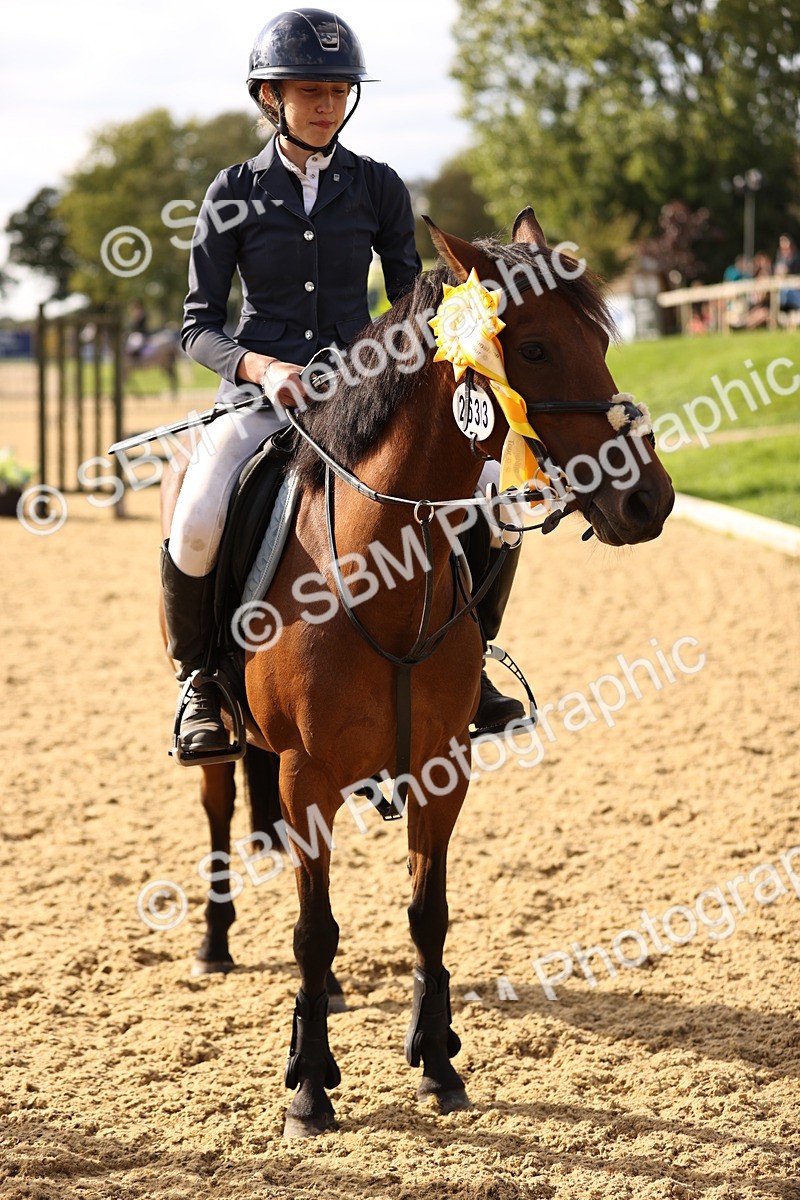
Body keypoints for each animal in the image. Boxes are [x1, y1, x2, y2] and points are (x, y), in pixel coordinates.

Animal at [159, 210, 674, 1138]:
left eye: (602, 338)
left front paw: (438, 1063)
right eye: (532, 348)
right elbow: (314, 928)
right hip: (227, 740)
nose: (647, 499)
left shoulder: (442, 765)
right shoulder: (306, 774)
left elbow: (425, 916)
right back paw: (214, 944)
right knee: (220, 814)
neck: (377, 572)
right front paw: (309, 1086)